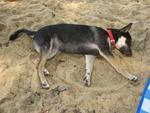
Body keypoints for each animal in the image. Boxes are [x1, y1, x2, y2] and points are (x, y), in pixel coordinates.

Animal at [9, 22, 138, 88]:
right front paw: (131, 76)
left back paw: (45, 71)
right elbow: (119, 67)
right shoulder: (106, 51)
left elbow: (89, 68)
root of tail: (36, 32)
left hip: (52, 51)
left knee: (37, 61)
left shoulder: (90, 55)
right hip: (47, 49)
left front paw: (87, 79)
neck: (109, 35)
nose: (131, 54)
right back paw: (44, 82)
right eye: (129, 42)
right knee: (39, 65)